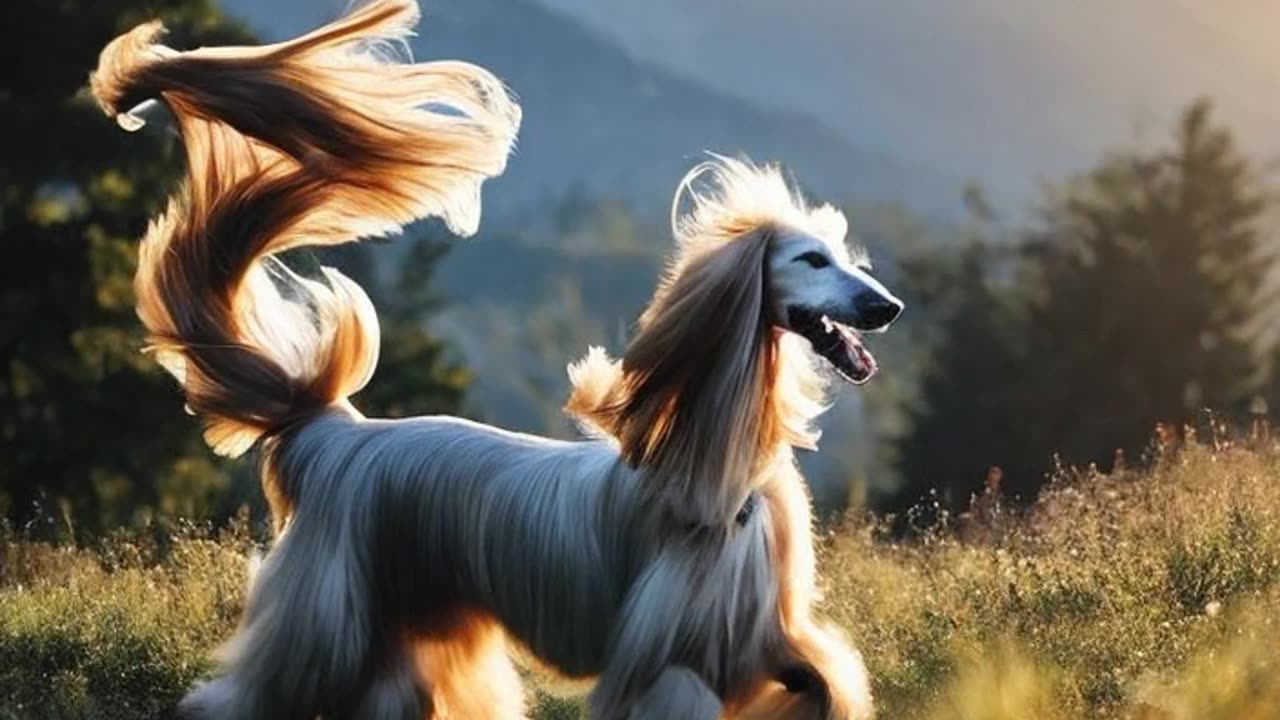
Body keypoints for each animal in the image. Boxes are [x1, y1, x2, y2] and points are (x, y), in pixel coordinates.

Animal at [92, 2, 901, 712]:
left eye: (845, 258)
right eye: (811, 260)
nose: (886, 307)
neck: (718, 465)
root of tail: (333, 432)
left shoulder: (761, 639)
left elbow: (823, 682)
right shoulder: (669, 661)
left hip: (408, 638)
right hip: (328, 624)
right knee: (240, 697)